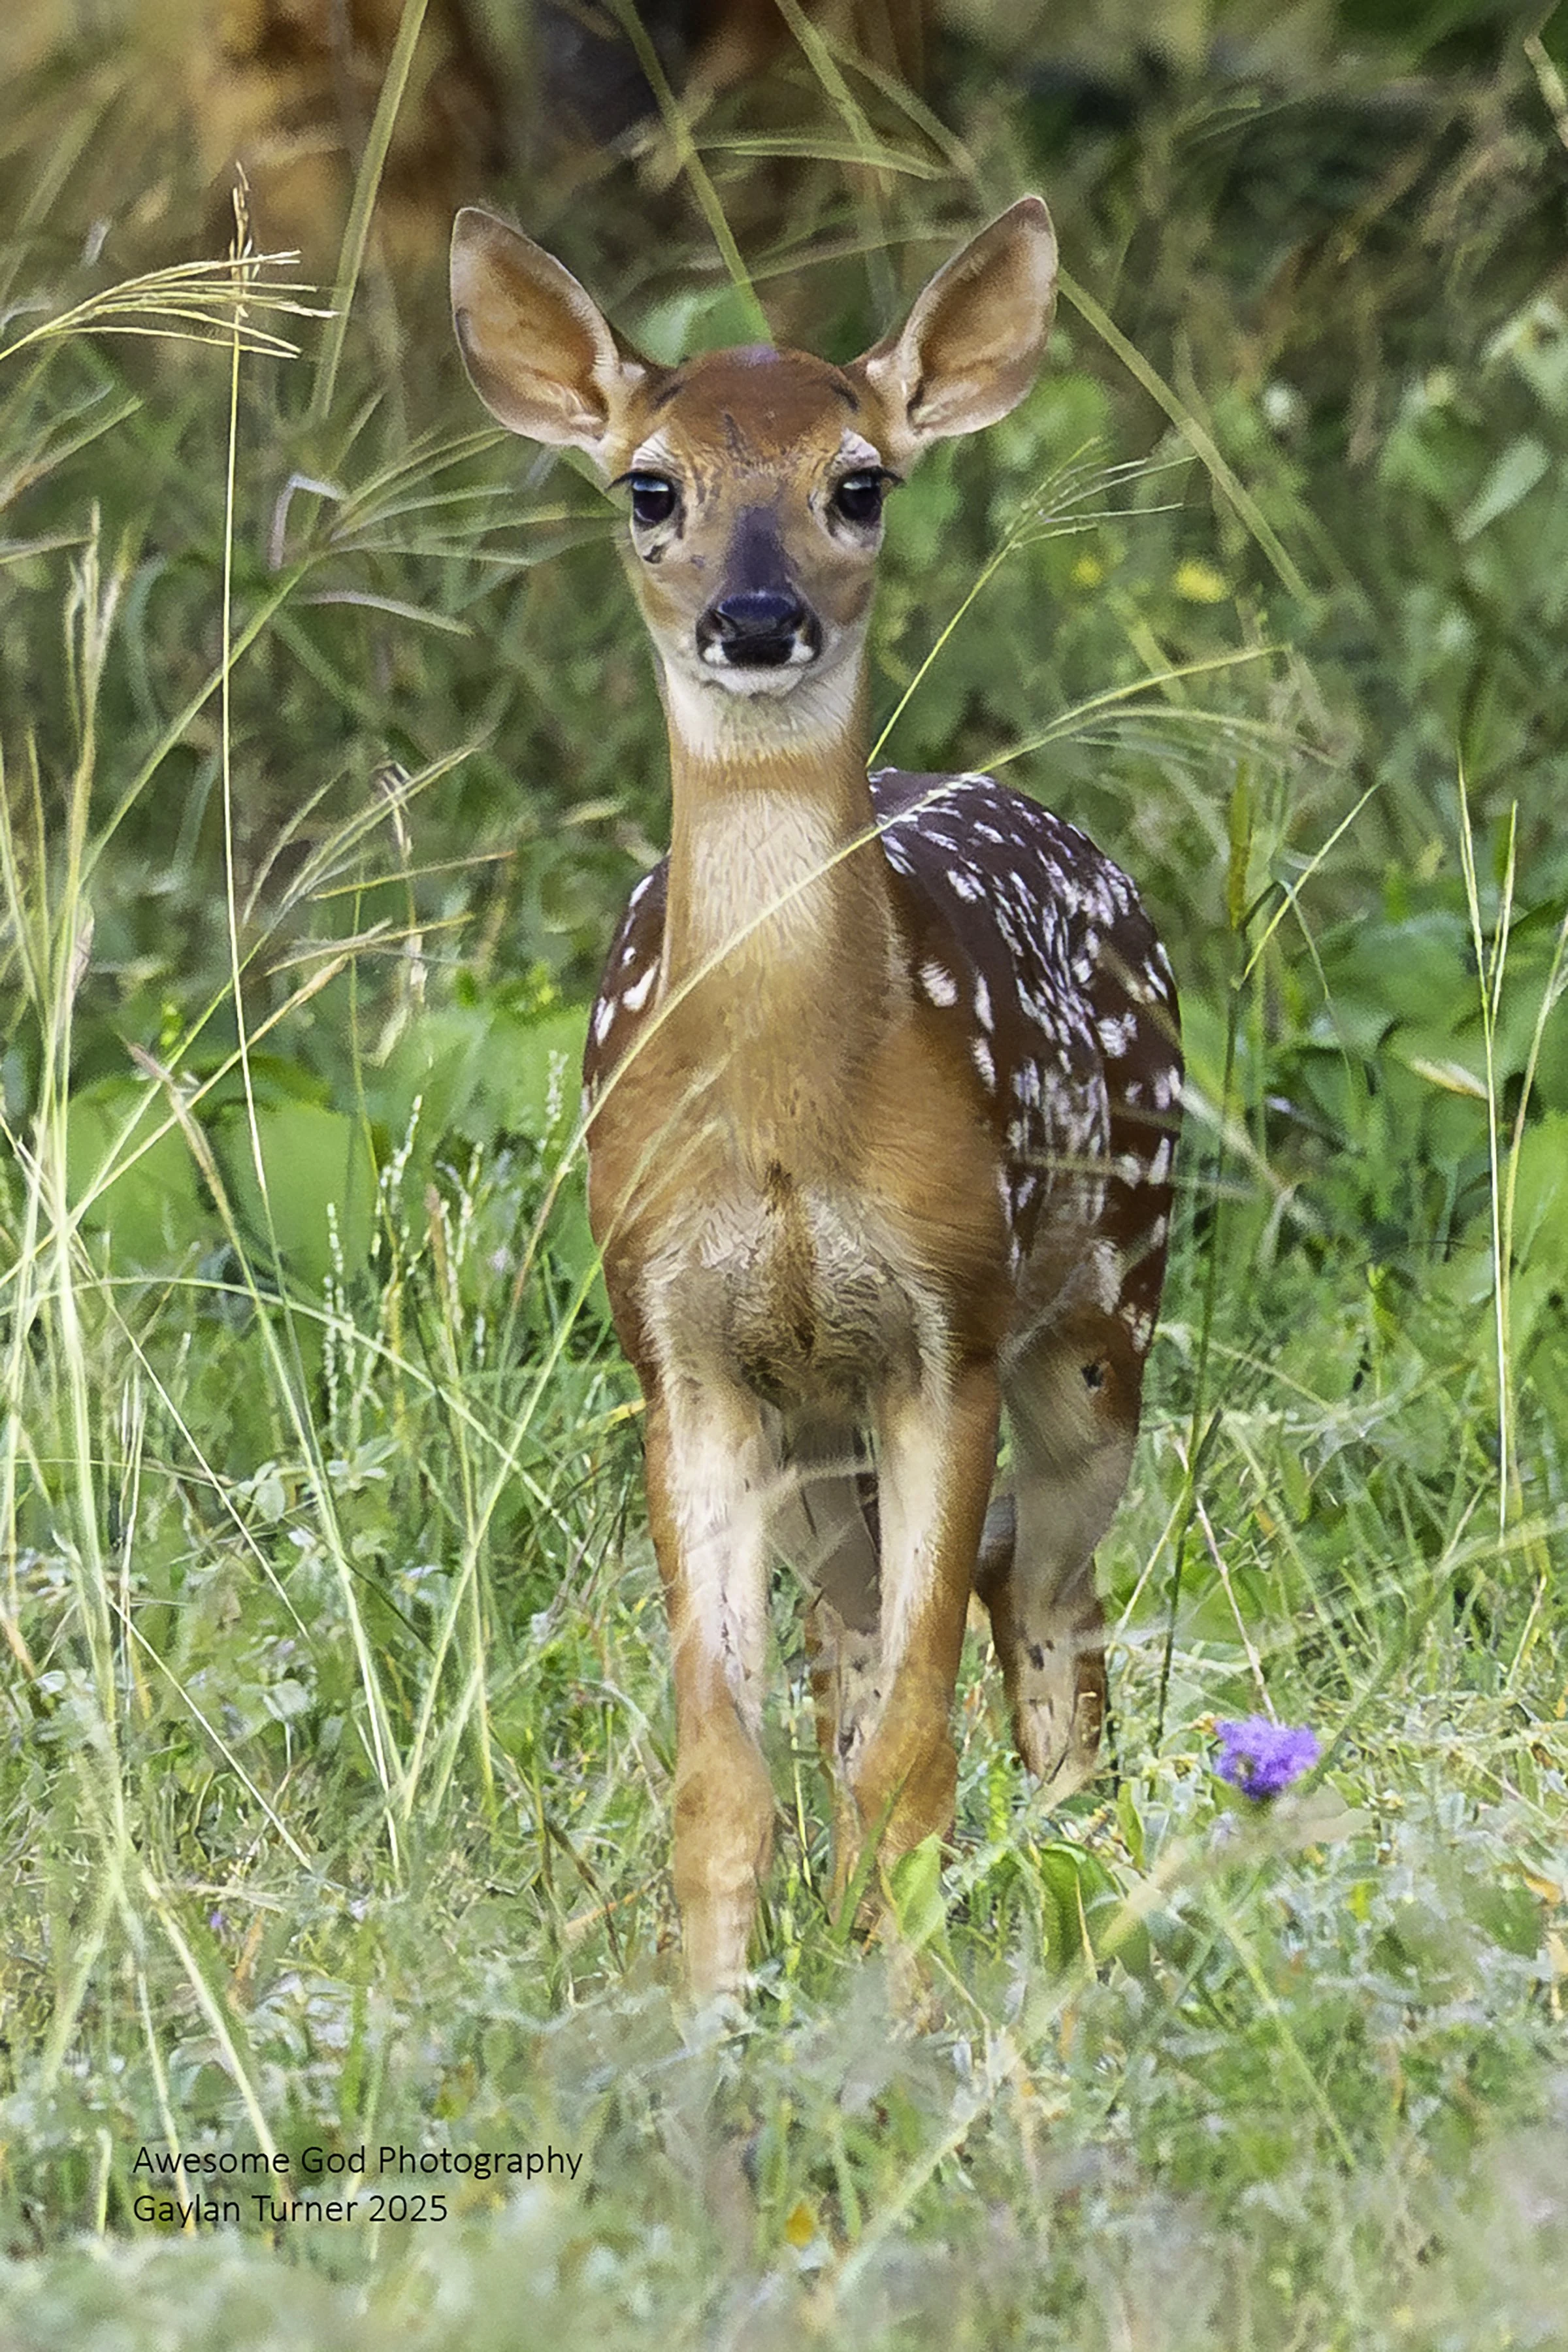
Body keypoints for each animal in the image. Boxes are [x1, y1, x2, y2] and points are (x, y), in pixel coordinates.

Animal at [450, 196, 1182, 2000]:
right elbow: (723, 1778)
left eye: (860, 481)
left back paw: (1076, 1892)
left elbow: (916, 1759)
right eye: (650, 488)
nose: (759, 618)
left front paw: (909, 2031)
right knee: (858, 1649)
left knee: (1044, 1612)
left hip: (1103, 1317)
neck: (789, 1125)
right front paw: (715, 2026)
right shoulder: (684, 1359)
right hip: (815, 1435)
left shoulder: (947, 1327)